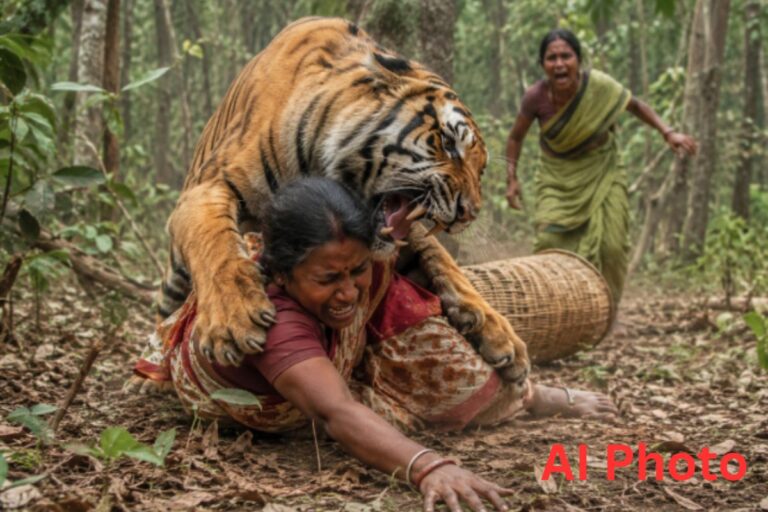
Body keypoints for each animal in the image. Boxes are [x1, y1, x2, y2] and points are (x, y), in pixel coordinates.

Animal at [158, 16, 529, 385]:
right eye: (448, 143)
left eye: (481, 169)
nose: (470, 213)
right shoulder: (210, 184)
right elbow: (216, 245)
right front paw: (234, 318)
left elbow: (443, 261)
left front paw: (498, 333)